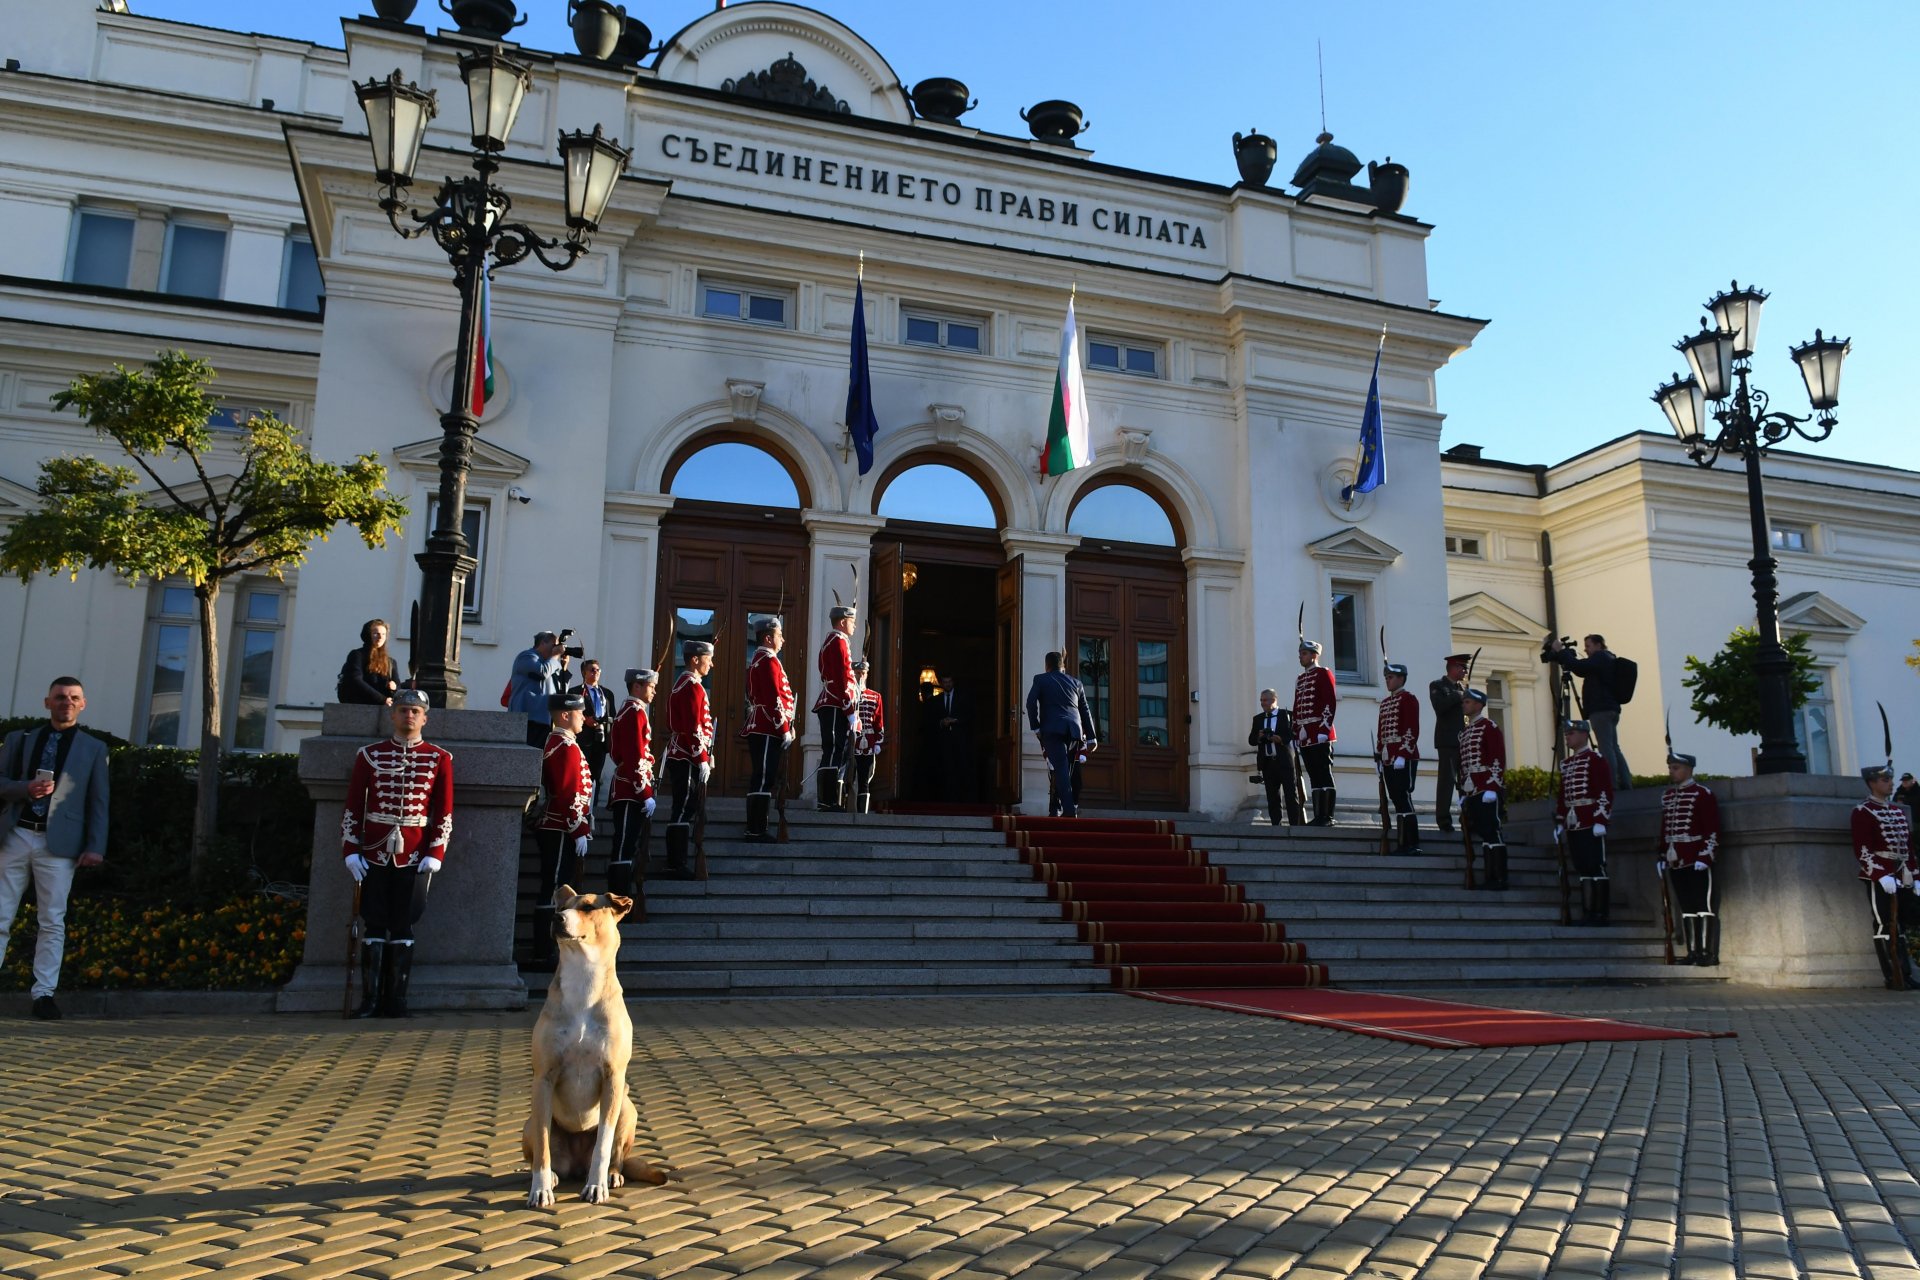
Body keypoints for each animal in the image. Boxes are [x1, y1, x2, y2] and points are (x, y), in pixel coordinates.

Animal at [522, 886, 672, 1205]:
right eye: (561, 906)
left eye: (589, 907)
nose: (556, 918)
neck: (584, 980)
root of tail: (576, 1165)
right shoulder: (543, 1078)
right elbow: (542, 1145)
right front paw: (540, 1188)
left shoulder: (612, 1077)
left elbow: (604, 1142)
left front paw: (597, 1185)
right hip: (529, 1122)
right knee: (544, 1150)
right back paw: (553, 1176)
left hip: (627, 1108)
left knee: (616, 1154)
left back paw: (612, 1175)